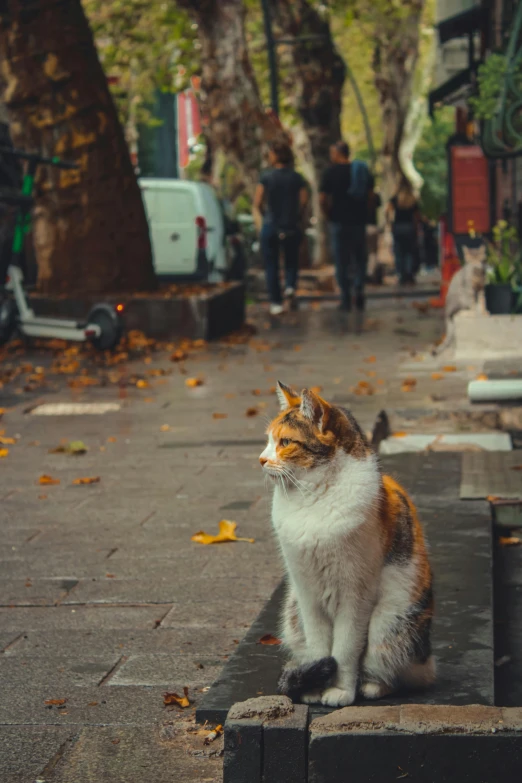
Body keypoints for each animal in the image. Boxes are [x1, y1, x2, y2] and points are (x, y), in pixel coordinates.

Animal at [258, 386, 432, 712]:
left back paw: (372, 686)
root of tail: (429, 663)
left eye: (285, 442)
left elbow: (346, 648)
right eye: (268, 441)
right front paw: (314, 686)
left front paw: (339, 690)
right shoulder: (306, 592)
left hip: (388, 620)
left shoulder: (355, 596)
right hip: (293, 612)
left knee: (392, 669)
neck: (310, 499)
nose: (261, 459)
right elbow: (319, 647)